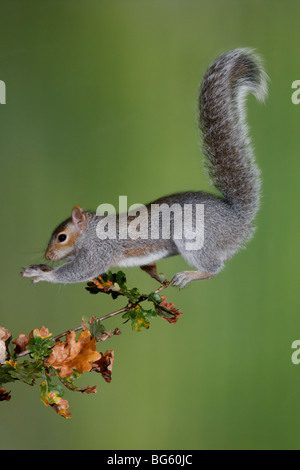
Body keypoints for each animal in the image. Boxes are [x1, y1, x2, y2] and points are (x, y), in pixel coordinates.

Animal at [22, 49, 268, 288]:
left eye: (62, 237)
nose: (48, 255)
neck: (91, 231)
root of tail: (237, 220)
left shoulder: (99, 251)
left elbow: (79, 271)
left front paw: (45, 274)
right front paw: (40, 267)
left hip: (194, 236)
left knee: (214, 269)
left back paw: (189, 275)